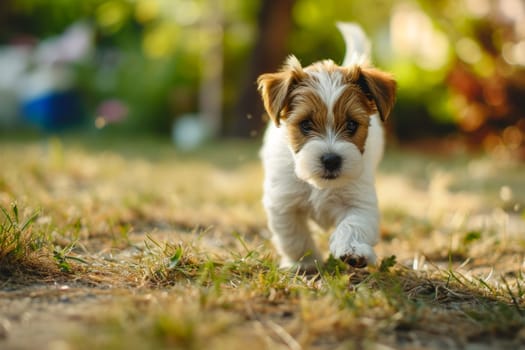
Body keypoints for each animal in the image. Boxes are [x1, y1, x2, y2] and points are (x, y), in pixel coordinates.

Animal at [256, 23, 396, 272]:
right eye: (306, 124)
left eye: (351, 125)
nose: (331, 160)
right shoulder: (283, 202)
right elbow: (294, 235)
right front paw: (304, 261)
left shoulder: (360, 202)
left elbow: (353, 224)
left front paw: (353, 251)